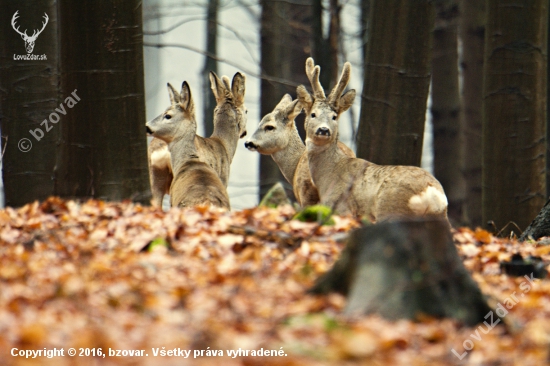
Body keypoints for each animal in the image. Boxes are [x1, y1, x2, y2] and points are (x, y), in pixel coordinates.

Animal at [298, 57, 448, 223]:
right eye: (313, 114)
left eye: (334, 117)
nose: (324, 130)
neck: (329, 173)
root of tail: (431, 192)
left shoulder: (341, 208)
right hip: (440, 216)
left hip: (391, 210)